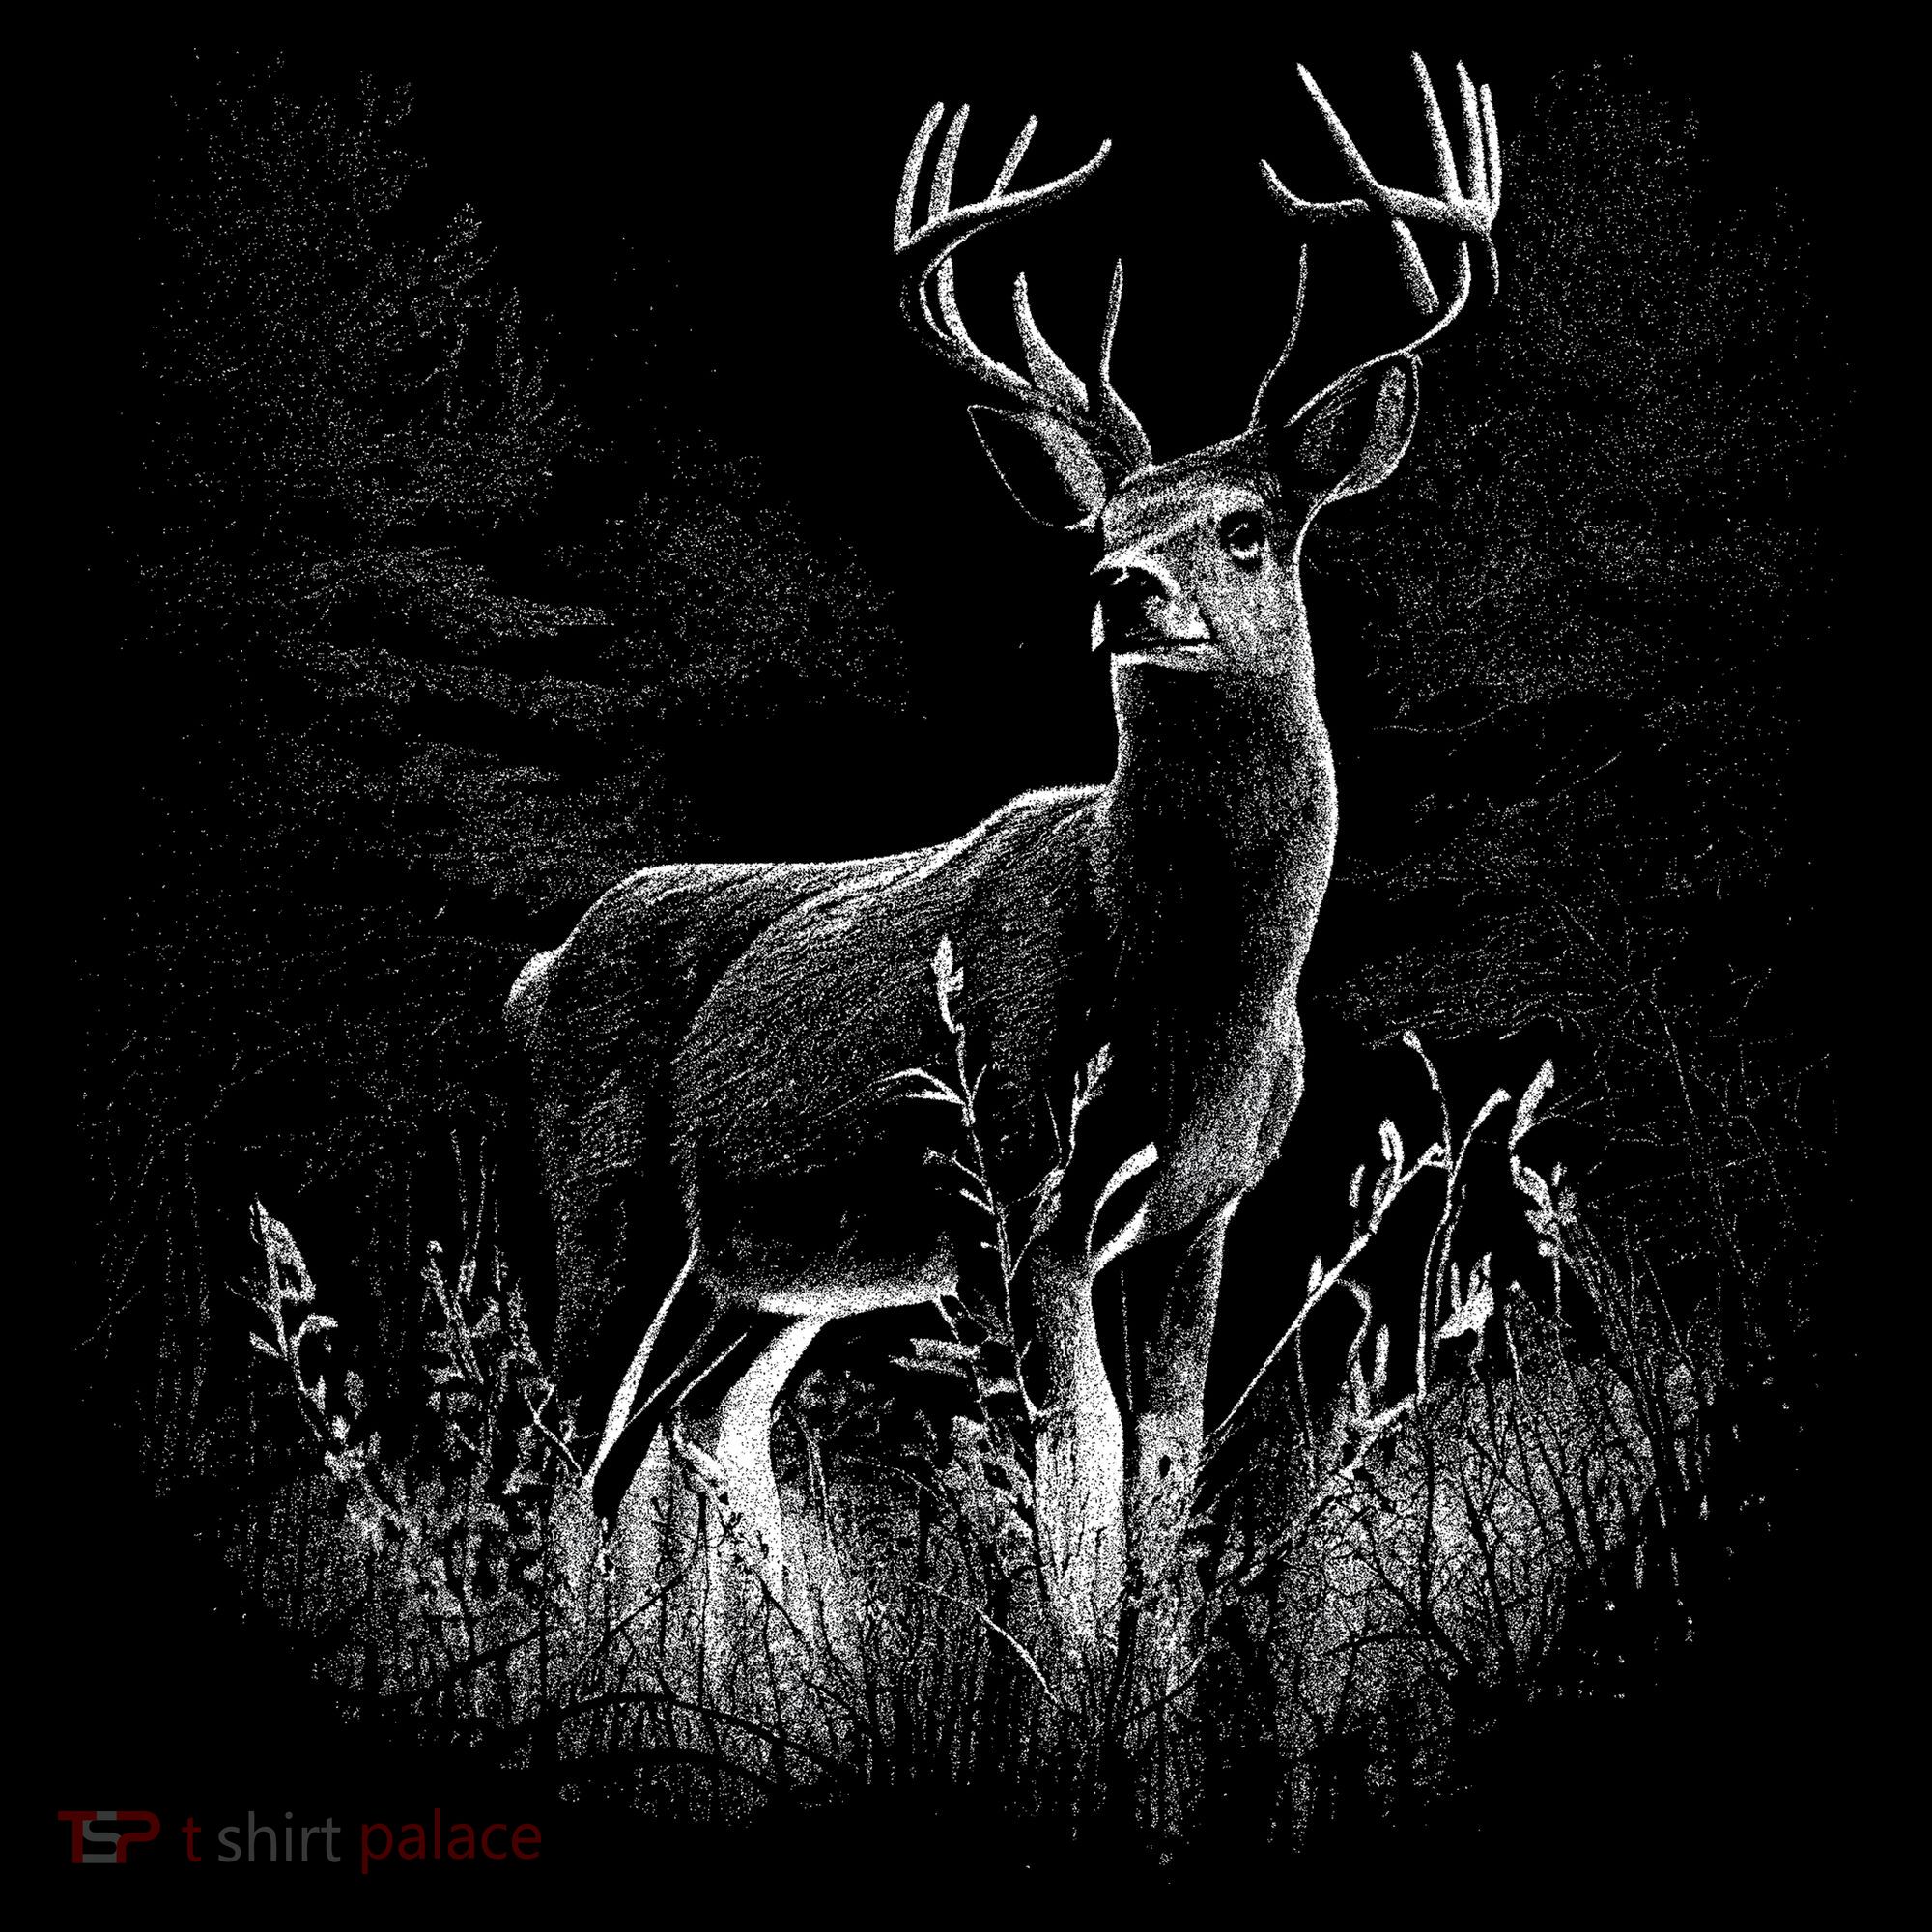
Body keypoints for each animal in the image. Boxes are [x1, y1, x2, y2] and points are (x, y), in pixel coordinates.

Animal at [507, 55, 1501, 1637]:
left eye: (1246, 525)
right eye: (1102, 524)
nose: (1122, 586)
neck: (1185, 998)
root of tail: (537, 973)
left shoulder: (1203, 1210)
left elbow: (1159, 1467)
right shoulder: (1012, 1193)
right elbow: (1071, 1472)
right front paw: (1071, 1674)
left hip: (764, 1275)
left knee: (683, 1436)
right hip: (609, 1201)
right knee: (565, 1442)